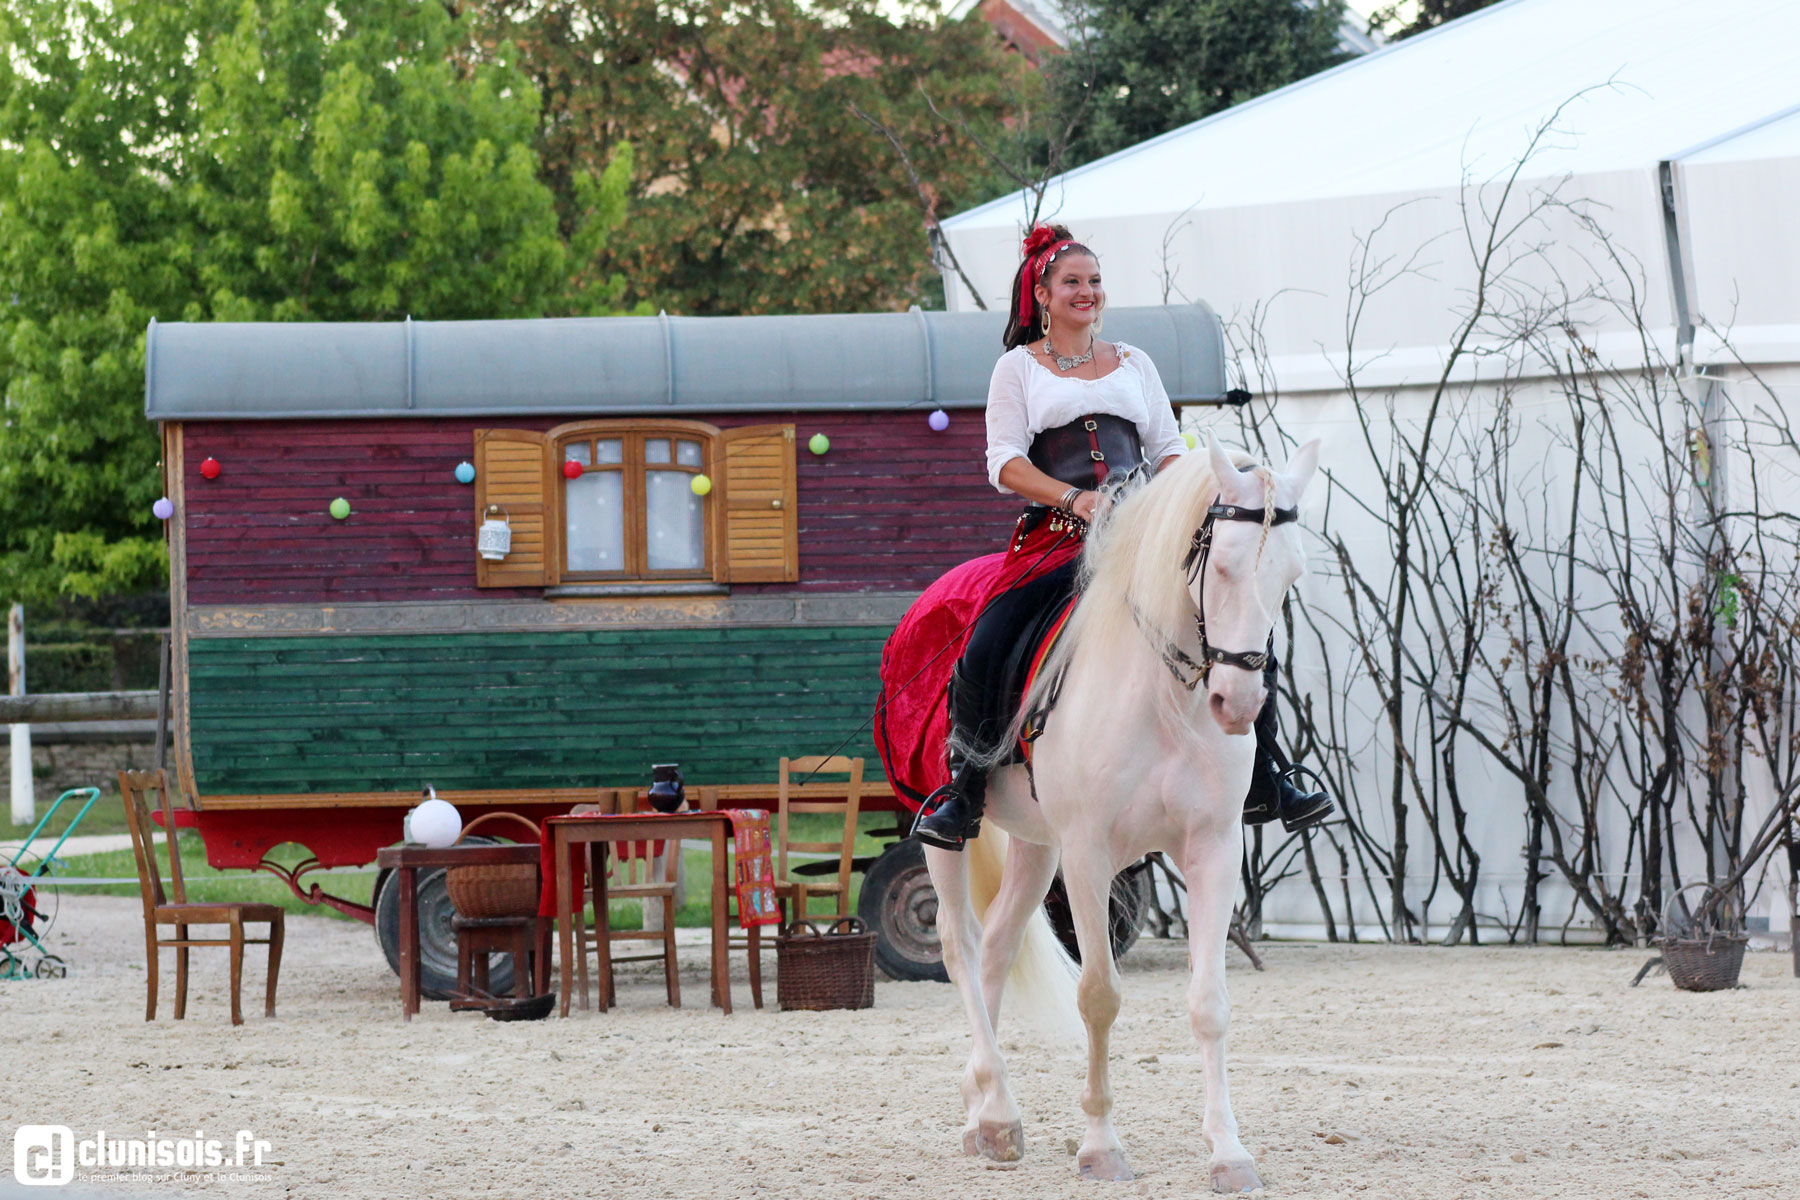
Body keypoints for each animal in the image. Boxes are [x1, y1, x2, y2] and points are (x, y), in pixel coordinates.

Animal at [928, 437, 1324, 1194]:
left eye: (1291, 574)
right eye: (1221, 565)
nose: (1239, 705)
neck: (1166, 698)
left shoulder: (1213, 849)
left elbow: (1209, 1002)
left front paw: (1228, 1153)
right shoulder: (1088, 855)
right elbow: (1099, 997)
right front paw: (1100, 1147)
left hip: (1036, 845)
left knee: (997, 947)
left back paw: (986, 1114)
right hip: (944, 833)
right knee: (960, 945)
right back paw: (996, 1105)